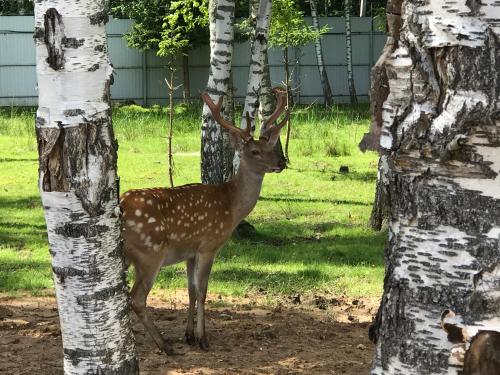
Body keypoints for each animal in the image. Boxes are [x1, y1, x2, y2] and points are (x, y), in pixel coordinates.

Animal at [118, 89, 288, 354]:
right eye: (254, 152)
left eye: (269, 146)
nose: (281, 163)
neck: (232, 205)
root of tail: (122, 206)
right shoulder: (209, 244)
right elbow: (203, 291)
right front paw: (203, 339)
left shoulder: (189, 251)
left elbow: (190, 290)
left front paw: (188, 335)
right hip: (149, 253)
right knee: (137, 299)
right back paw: (164, 345)